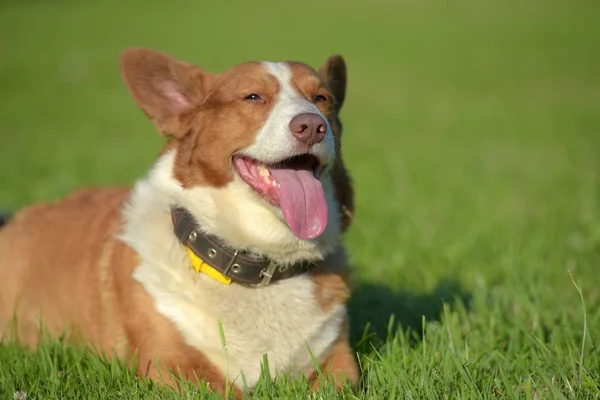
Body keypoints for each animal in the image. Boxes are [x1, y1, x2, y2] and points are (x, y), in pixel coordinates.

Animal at [0, 47, 356, 396]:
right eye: (253, 97)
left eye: (322, 98)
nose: (312, 126)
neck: (256, 259)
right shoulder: (172, 365)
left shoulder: (339, 361)